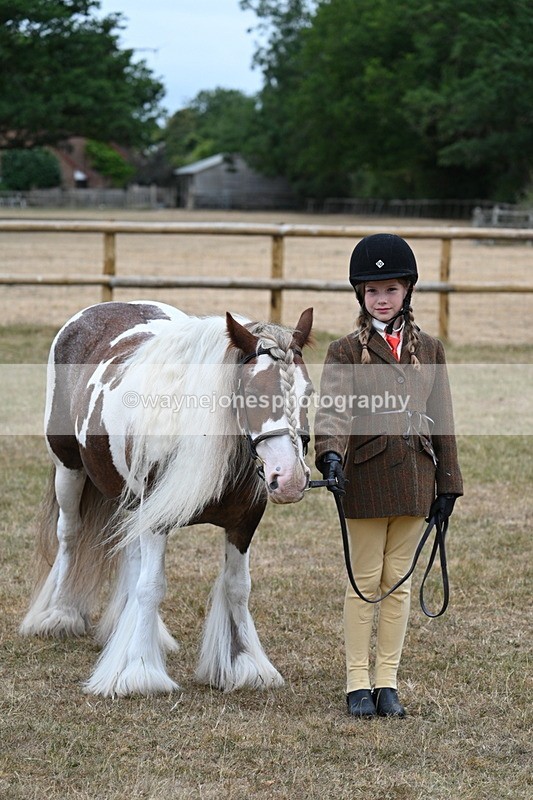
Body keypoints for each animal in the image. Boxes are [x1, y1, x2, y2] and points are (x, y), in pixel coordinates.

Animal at [20, 300, 314, 697]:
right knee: (69, 535)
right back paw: (61, 614)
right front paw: (140, 671)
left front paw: (244, 665)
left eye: (308, 393)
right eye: (255, 394)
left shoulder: (244, 523)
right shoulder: (156, 521)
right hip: (68, 470)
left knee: (130, 554)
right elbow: (152, 587)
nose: (290, 479)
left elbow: (238, 587)